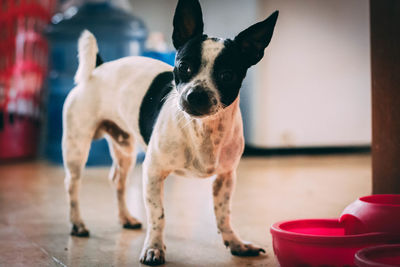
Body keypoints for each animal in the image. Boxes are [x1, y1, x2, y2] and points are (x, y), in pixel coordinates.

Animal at [62, 0, 280, 264]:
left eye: (227, 75)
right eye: (184, 66)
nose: (196, 94)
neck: (202, 131)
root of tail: (98, 68)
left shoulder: (226, 177)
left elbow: (223, 215)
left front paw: (236, 243)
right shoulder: (153, 173)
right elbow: (158, 215)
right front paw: (154, 248)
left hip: (124, 151)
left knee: (118, 181)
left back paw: (125, 218)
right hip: (76, 148)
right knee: (72, 185)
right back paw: (77, 223)